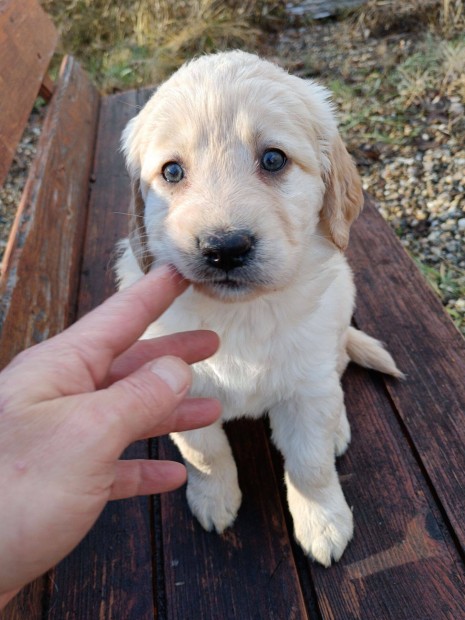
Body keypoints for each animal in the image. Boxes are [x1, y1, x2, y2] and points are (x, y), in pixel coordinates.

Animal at [117, 52, 402, 568]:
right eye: (172, 172)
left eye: (273, 159)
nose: (224, 249)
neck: (242, 315)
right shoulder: (186, 392)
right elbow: (205, 455)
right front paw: (214, 501)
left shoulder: (307, 388)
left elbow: (310, 465)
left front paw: (323, 524)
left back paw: (337, 429)